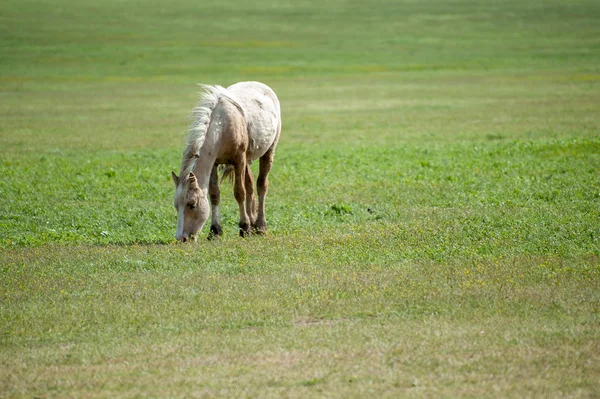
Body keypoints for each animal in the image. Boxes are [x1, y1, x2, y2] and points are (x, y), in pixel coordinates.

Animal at [169, 81, 282, 242]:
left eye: (192, 205)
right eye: (176, 205)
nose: (181, 238)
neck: (222, 125)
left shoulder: (239, 160)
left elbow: (239, 192)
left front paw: (244, 227)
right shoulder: (214, 164)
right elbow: (214, 194)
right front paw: (215, 230)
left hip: (268, 152)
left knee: (261, 185)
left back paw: (260, 226)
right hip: (247, 160)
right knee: (250, 186)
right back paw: (253, 223)